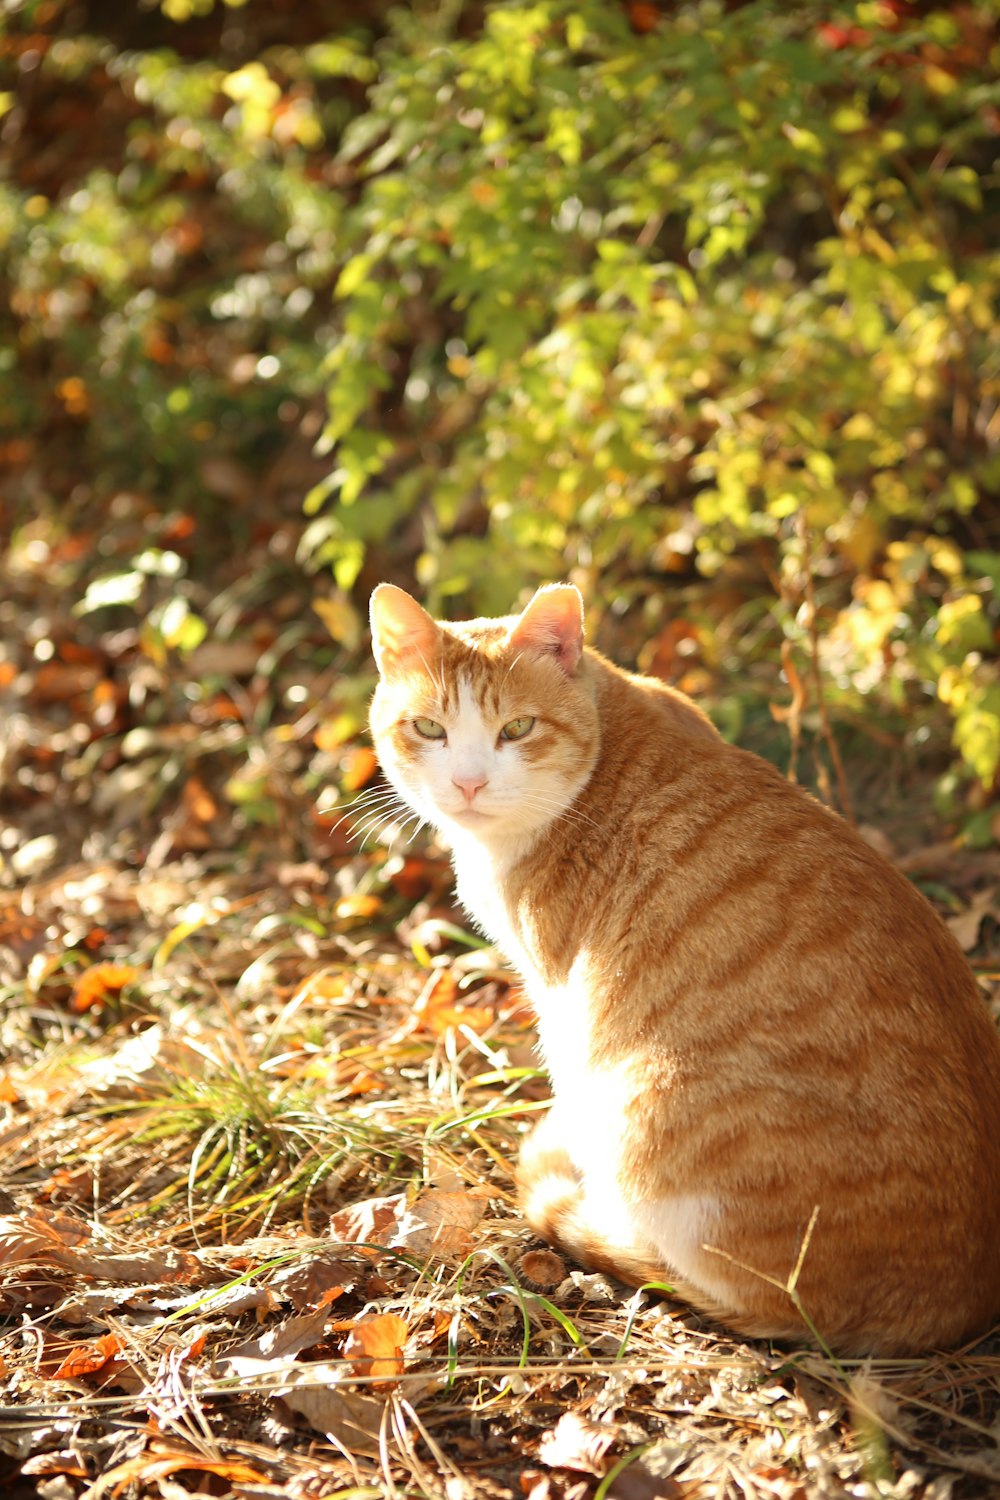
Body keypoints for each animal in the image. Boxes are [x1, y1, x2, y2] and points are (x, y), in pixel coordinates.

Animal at [367, 579, 1000, 1356]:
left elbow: (568, 1084)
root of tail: (953, 1305)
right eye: (429, 729)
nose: (467, 784)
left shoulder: (561, 996)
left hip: (648, 1109)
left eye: (517, 729)